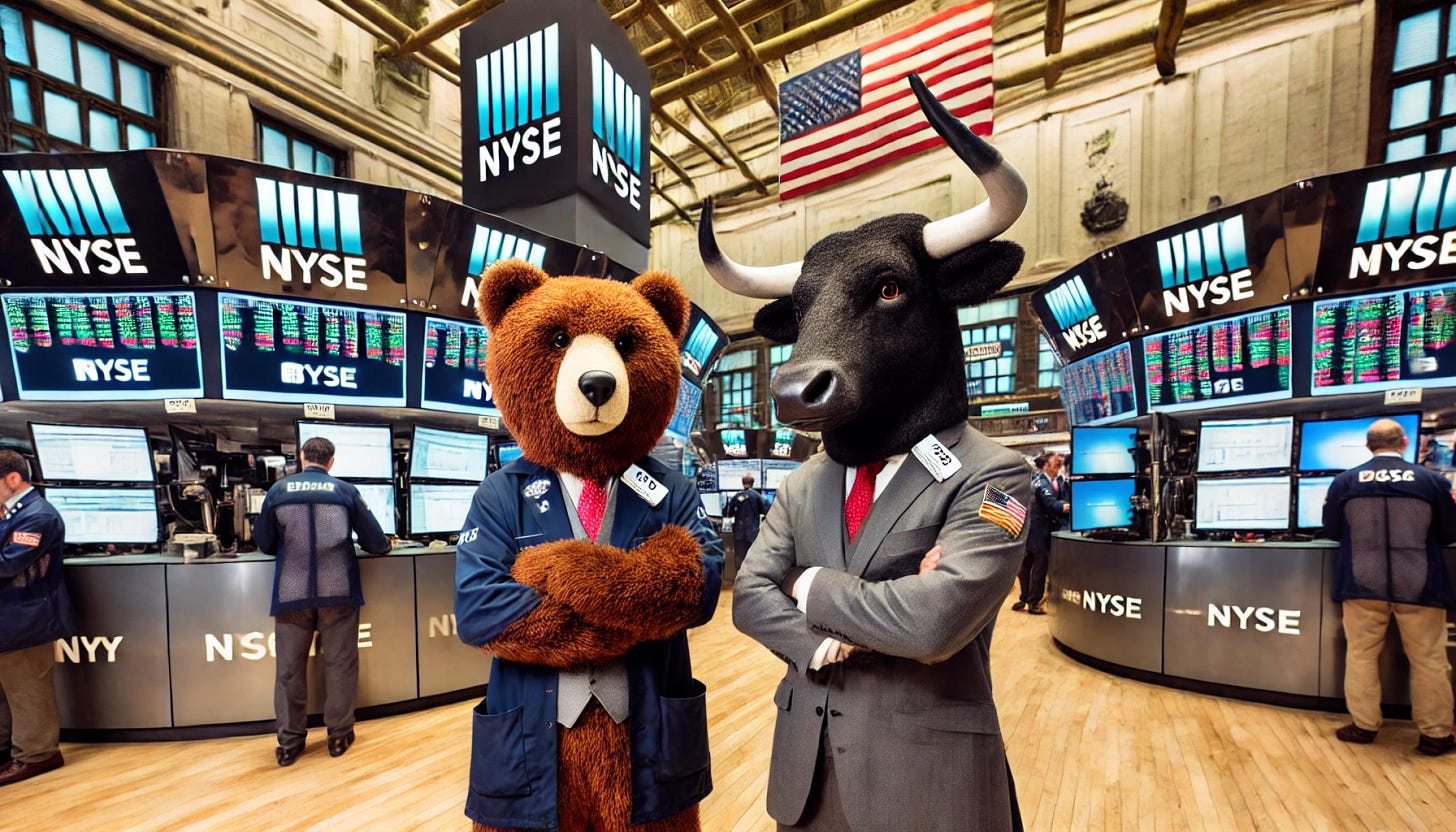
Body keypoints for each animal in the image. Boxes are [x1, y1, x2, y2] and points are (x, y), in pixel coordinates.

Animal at [454, 260, 722, 832]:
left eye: (626, 342)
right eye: (559, 338)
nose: (597, 384)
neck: (589, 468)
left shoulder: (685, 533)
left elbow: (686, 564)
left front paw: (558, 564)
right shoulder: (485, 507)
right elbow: (484, 590)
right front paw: (545, 565)